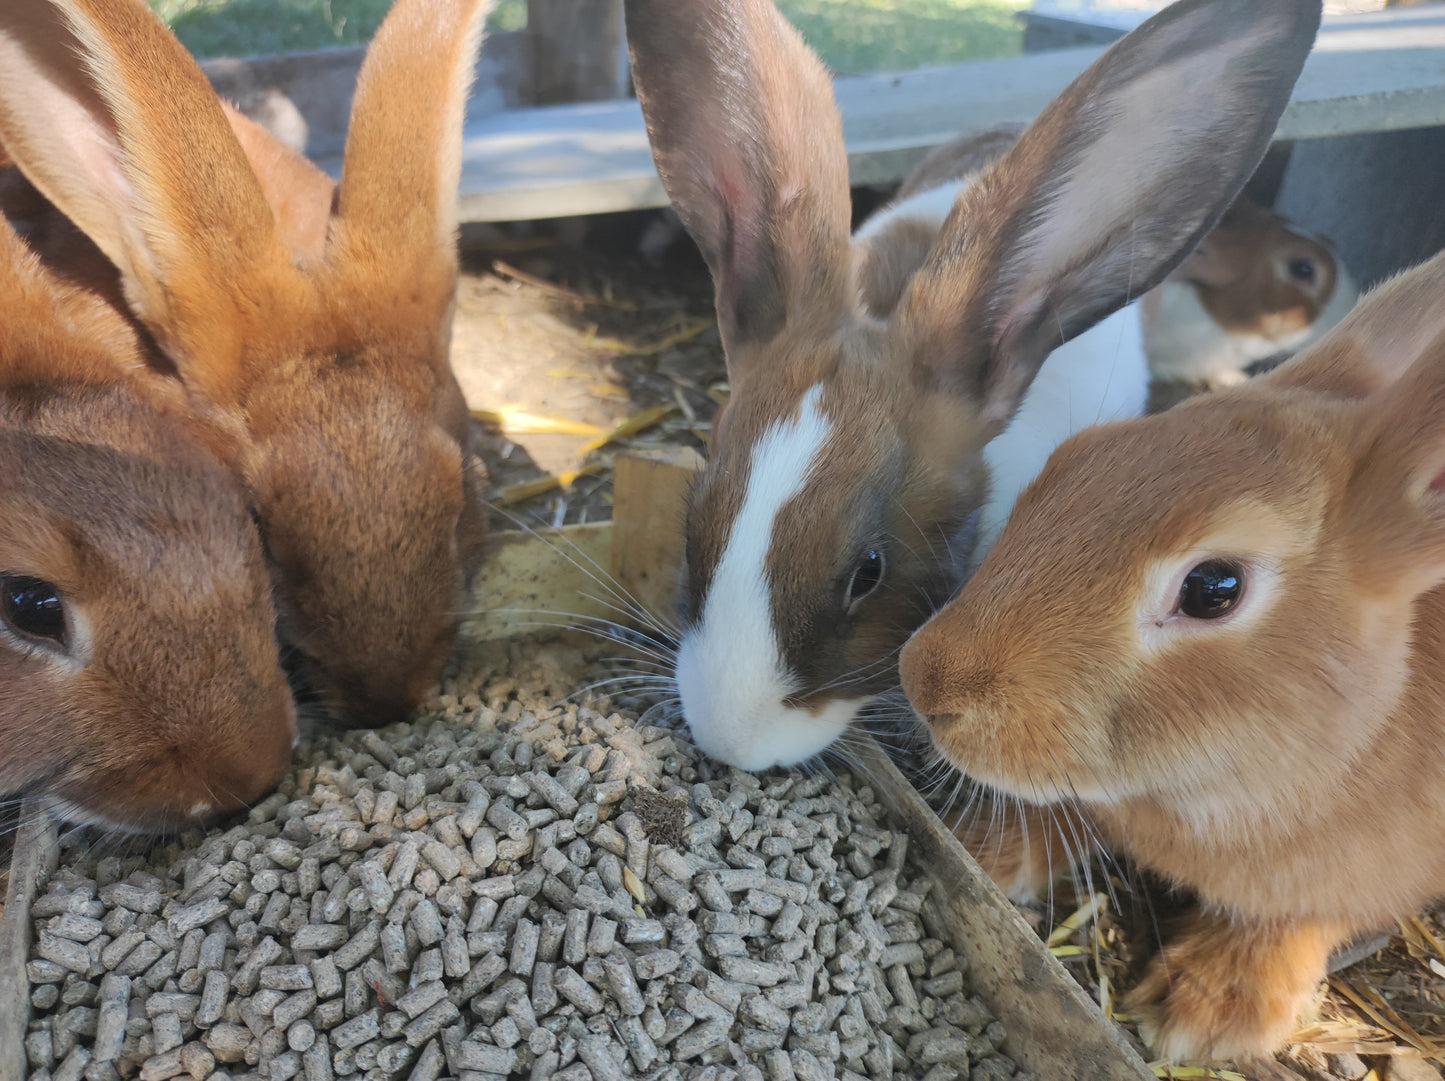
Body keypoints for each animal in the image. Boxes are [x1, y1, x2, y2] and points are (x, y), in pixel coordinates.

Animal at [901, 247, 1445, 1063]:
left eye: (1213, 587)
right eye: (1073, 459)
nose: (925, 679)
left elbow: (1300, 916)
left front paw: (1206, 1012)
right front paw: (988, 853)